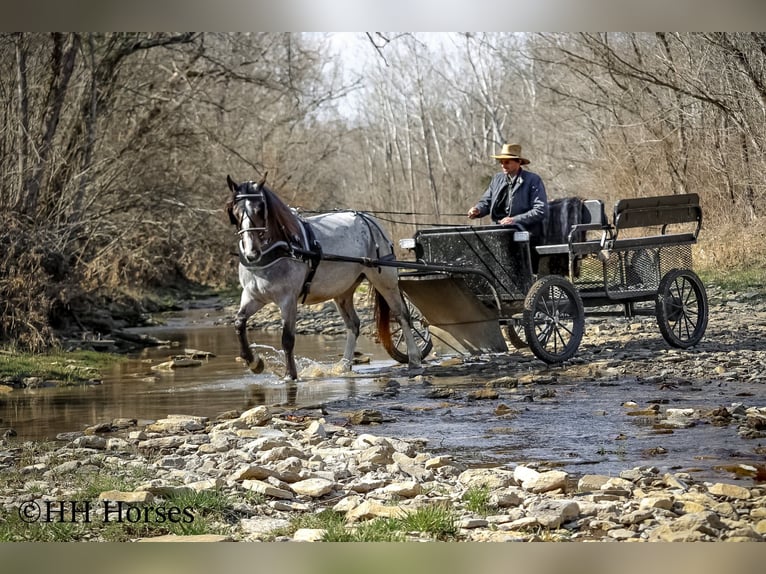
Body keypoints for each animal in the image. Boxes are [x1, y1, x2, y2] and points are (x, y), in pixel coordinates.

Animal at [225, 174, 423, 380]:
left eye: (260, 209)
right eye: (235, 212)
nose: (252, 253)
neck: (280, 249)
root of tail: (368, 219)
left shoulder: (288, 299)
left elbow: (287, 338)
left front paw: (290, 375)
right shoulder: (253, 296)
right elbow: (239, 323)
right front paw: (254, 362)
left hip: (385, 280)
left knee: (402, 315)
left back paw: (414, 359)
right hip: (342, 290)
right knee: (353, 324)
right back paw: (344, 366)